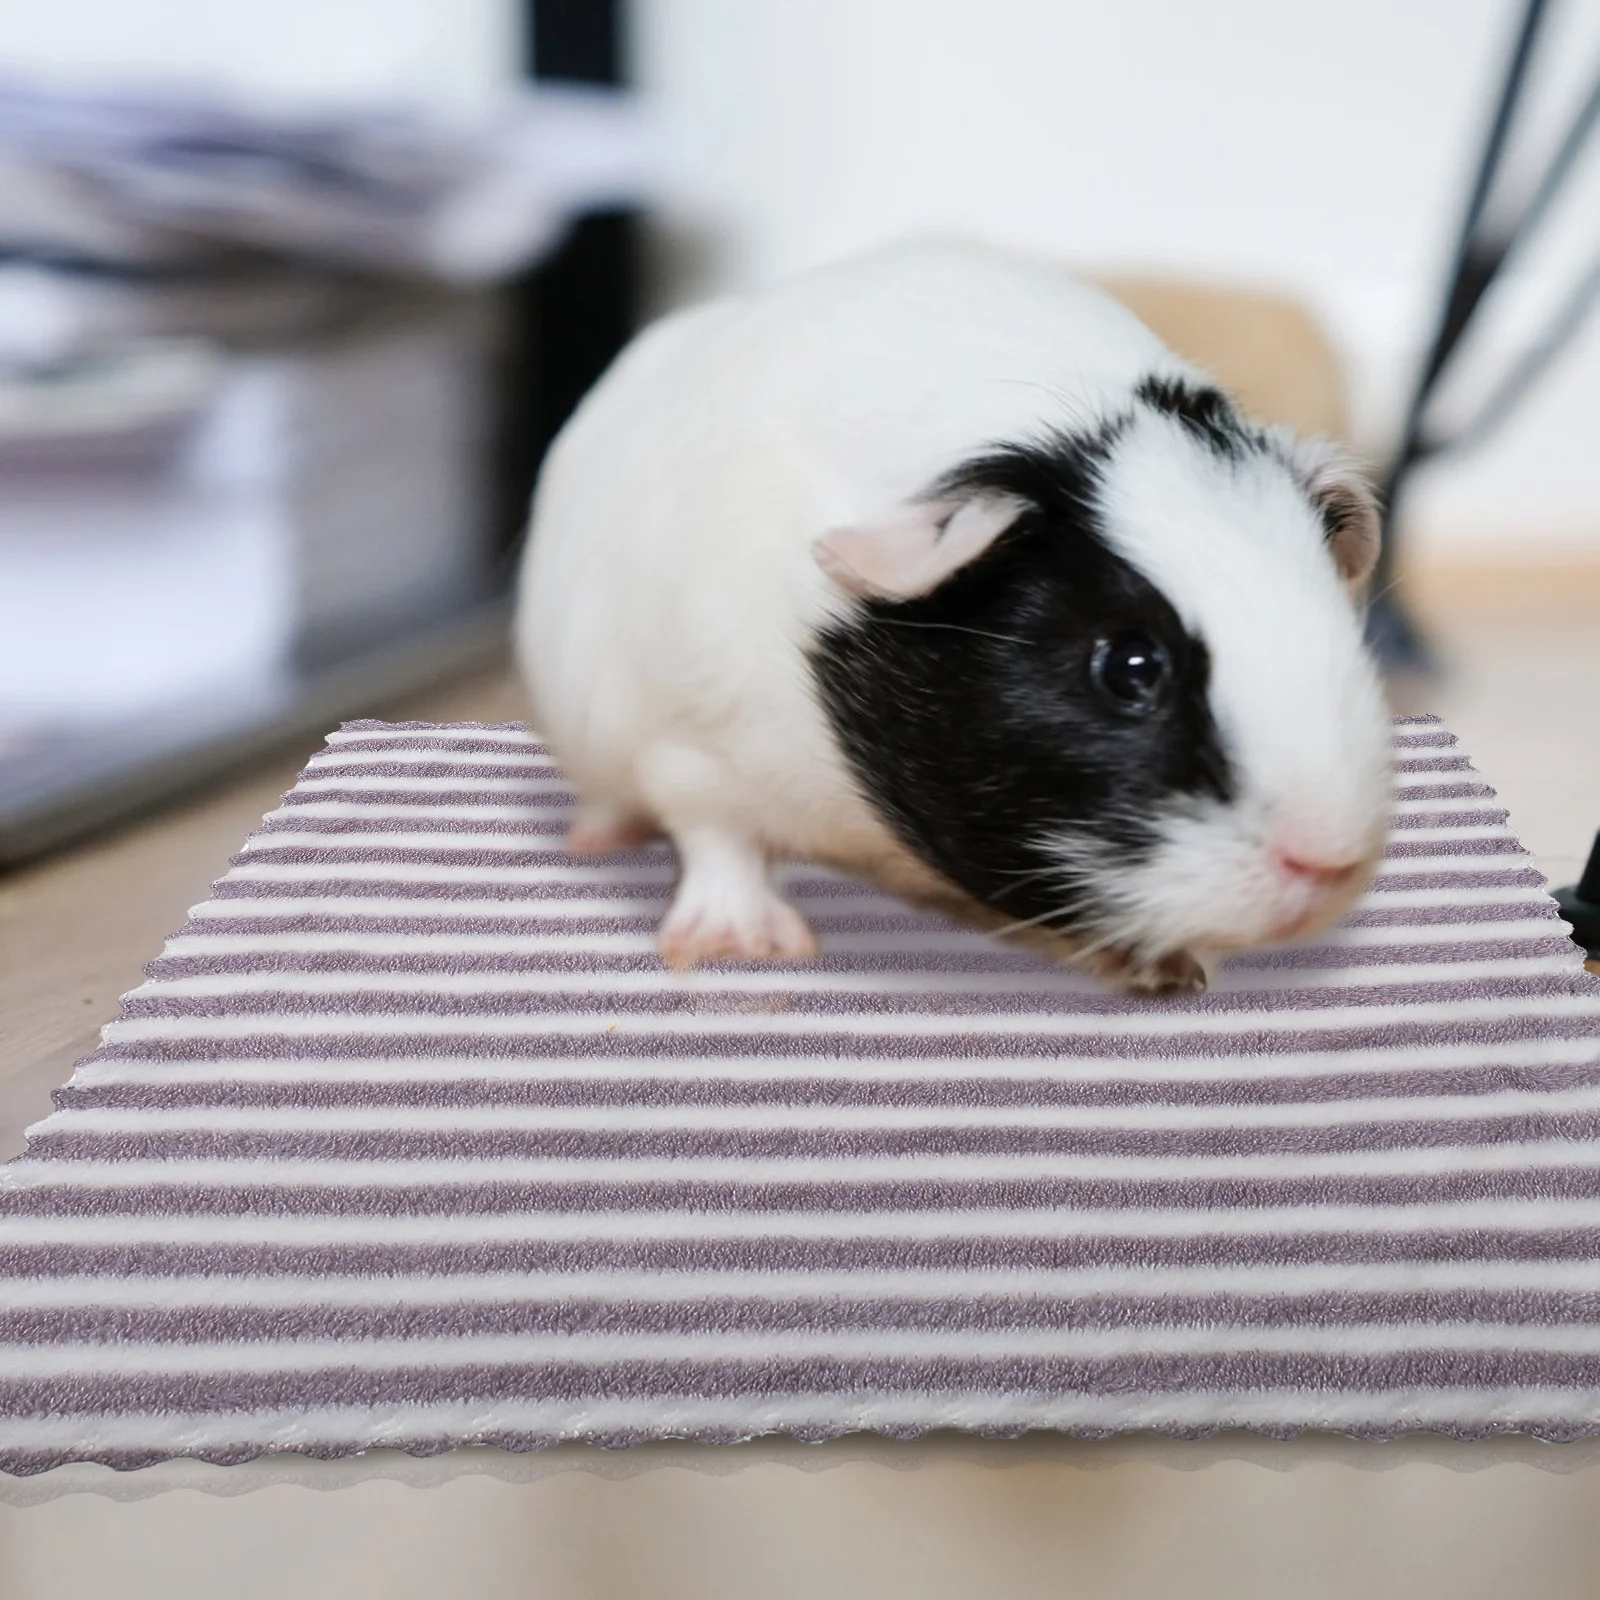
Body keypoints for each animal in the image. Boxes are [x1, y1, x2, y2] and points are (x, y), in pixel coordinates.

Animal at [515, 237, 1392, 995]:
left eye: (1338, 622)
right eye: (1128, 666)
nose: (1330, 863)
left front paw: (1173, 972)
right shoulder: (688, 743)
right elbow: (719, 838)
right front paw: (745, 947)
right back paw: (598, 839)